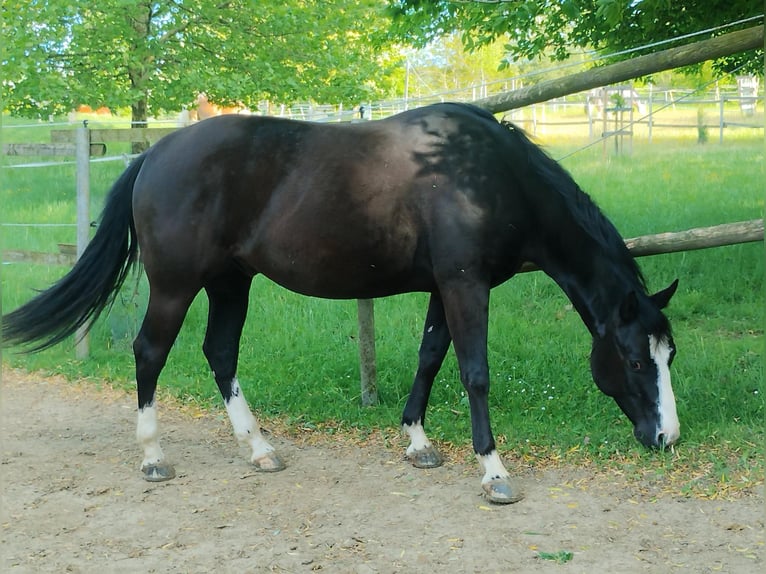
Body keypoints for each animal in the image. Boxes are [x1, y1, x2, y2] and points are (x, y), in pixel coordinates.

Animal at [2, 102, 680, 504]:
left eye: (669, 355)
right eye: (635, 361)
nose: (666, 437)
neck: (482, 172)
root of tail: (154, 153)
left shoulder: (444, 286)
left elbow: (431, 357)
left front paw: (418, 442)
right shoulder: (466, 284)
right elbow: (474, 372)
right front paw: (493, 471)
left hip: (231, 282)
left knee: (220, 354)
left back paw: (260, 450)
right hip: (176, 284)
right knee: (150, 353)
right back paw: (153, 458)